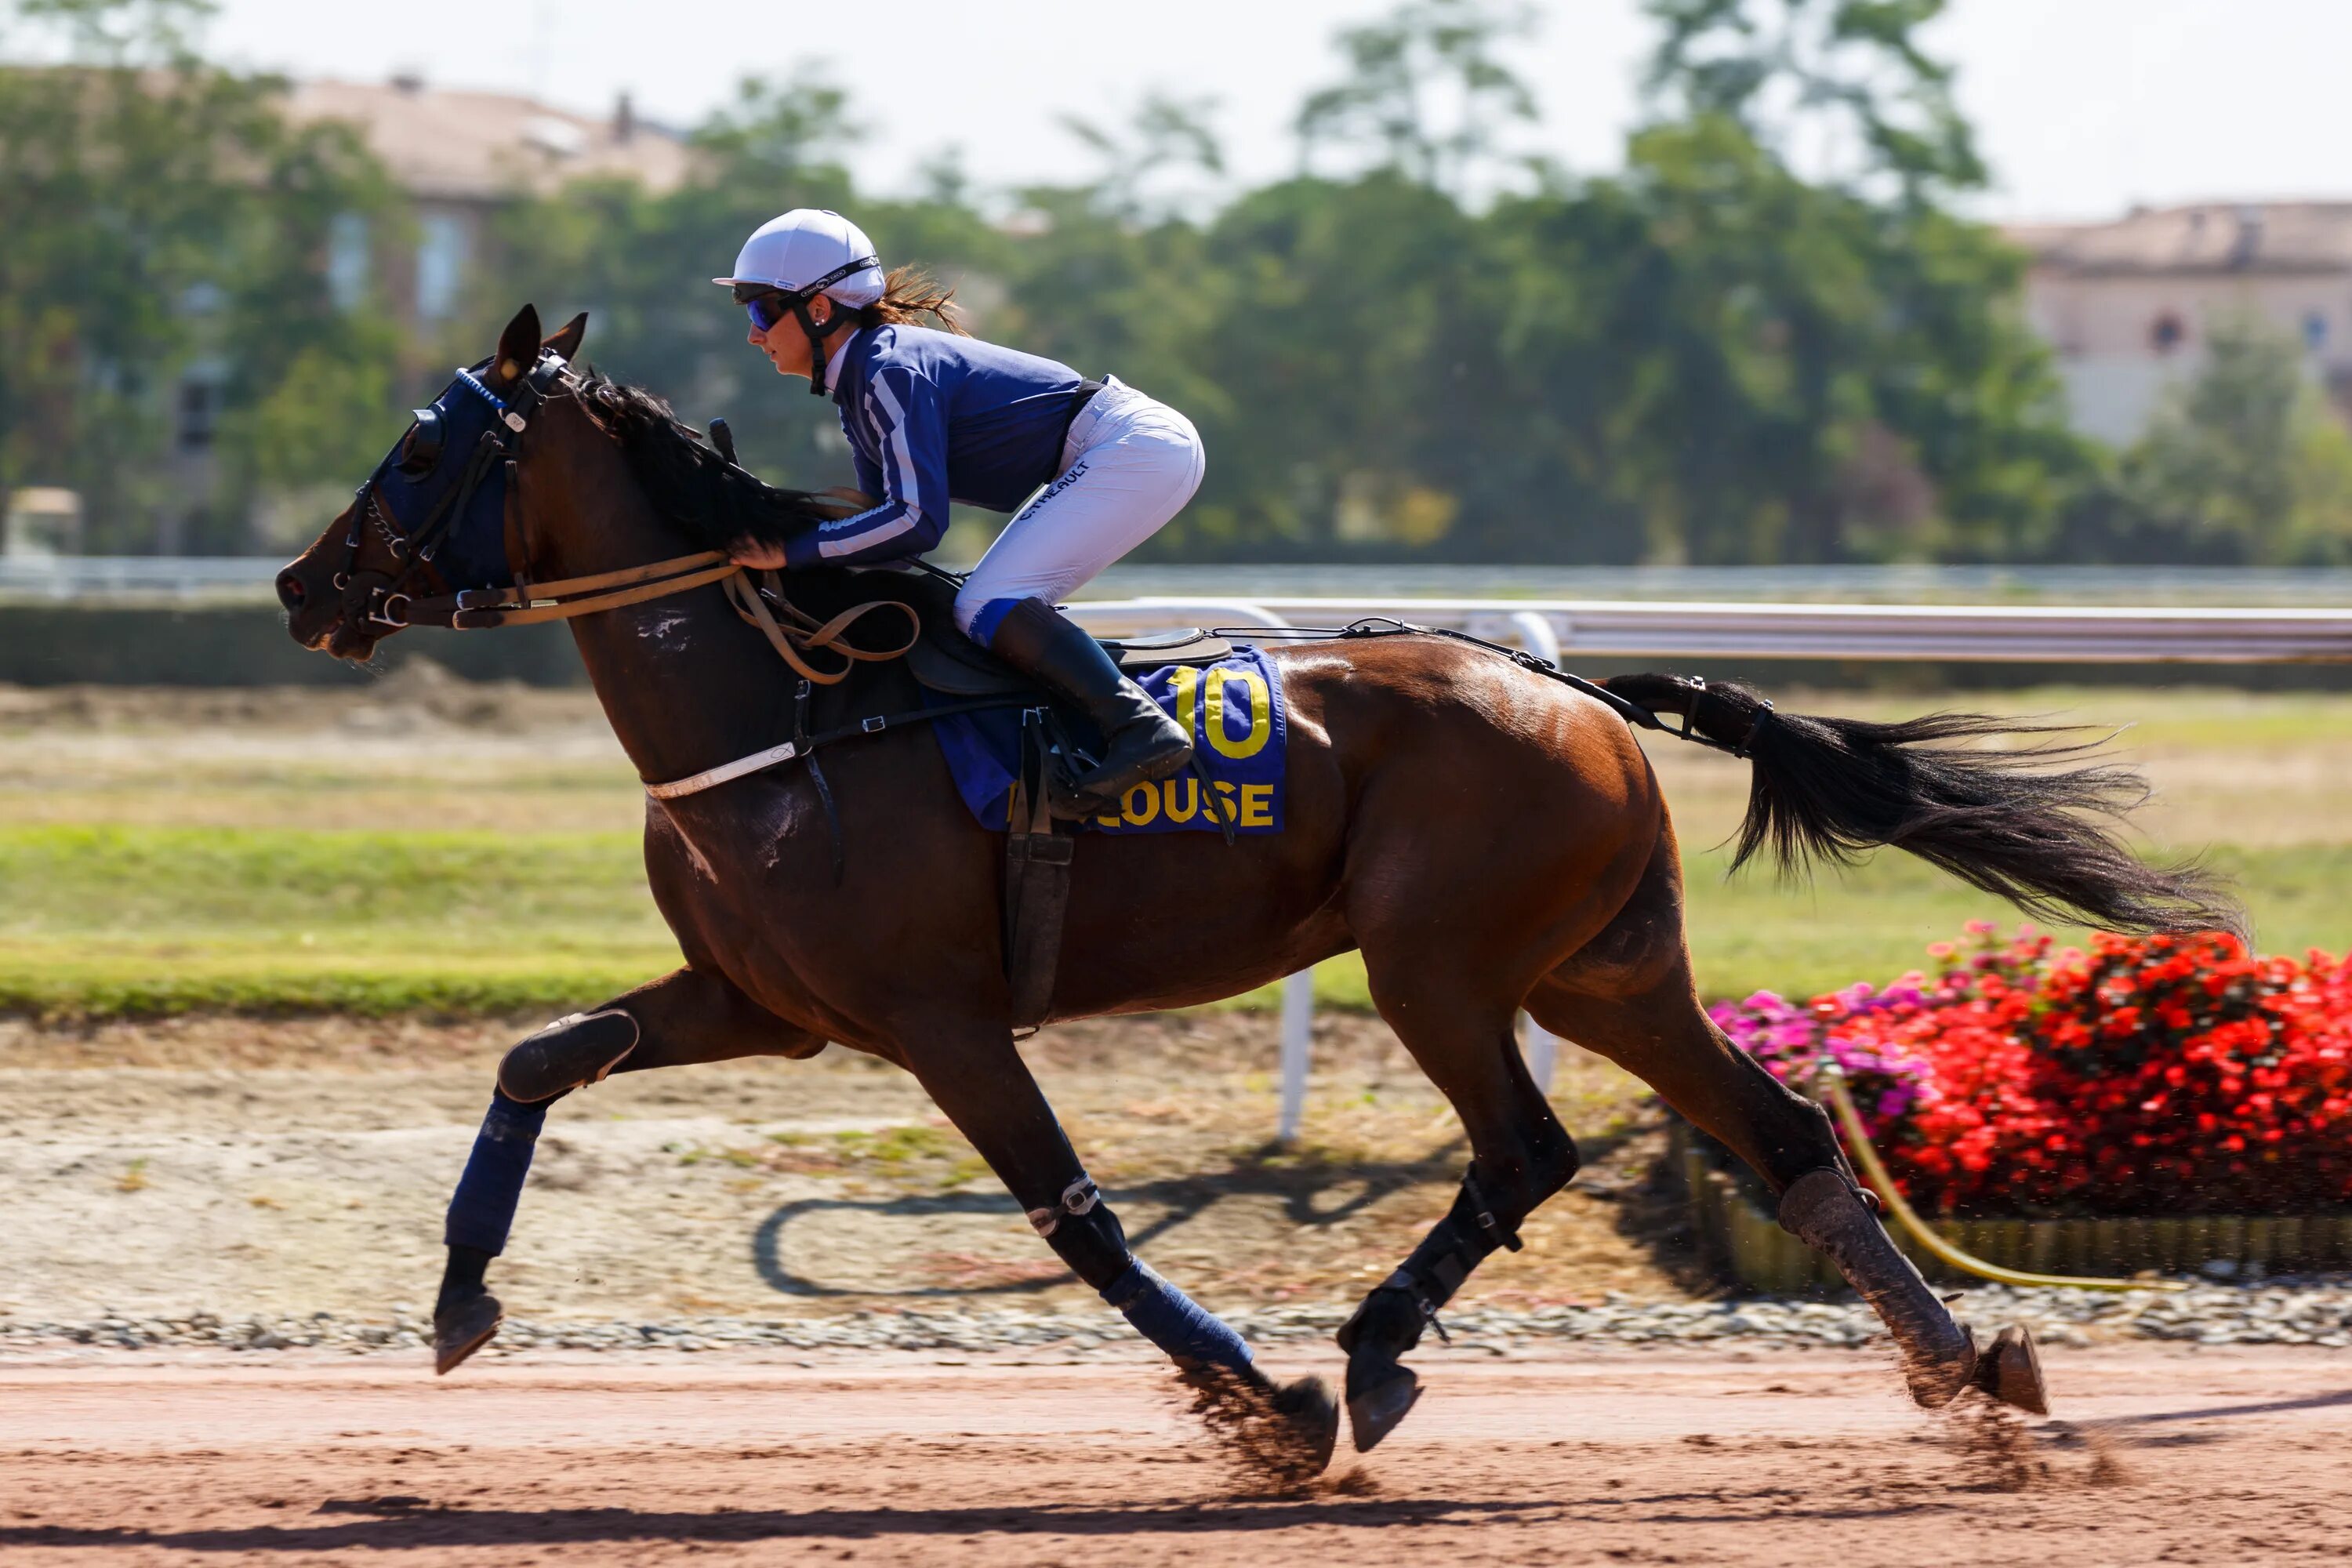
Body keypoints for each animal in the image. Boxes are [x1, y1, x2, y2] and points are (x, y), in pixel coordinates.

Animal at [280, 310, 2239, 1486]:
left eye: (419, 452)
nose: (303, 586)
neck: (787, 705)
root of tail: (1577, 691)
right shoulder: (768, 1004)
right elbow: (538, 1057)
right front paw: (458, 1299)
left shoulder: (937, 1018)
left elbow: (1078, 1219)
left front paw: (1265, 1405)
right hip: (1607, 970)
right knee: (1776, 1136)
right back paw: (1973, 1375)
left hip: (1438, 960)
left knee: (1528, 1145)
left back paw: (1368, 1353)